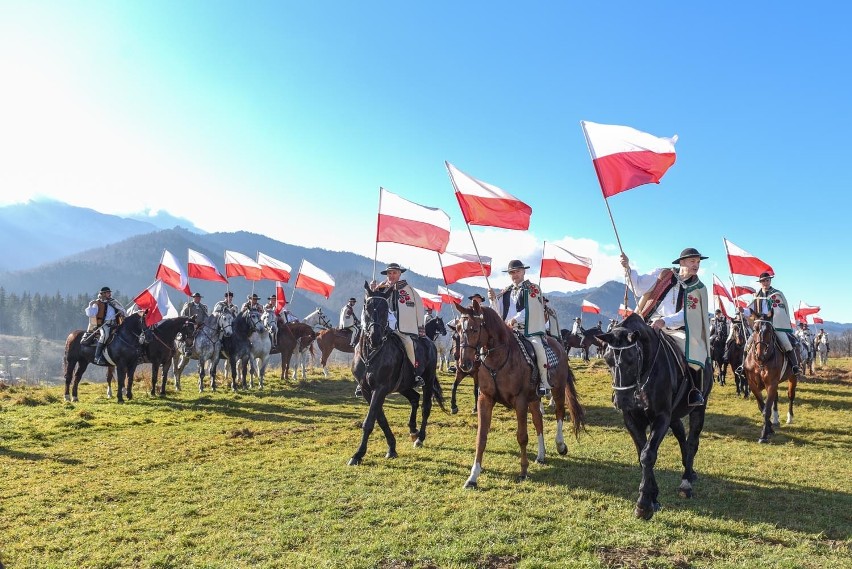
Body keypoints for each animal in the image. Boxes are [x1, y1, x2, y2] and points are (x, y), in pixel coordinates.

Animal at [350, 282, 450, 464]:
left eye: (385, 309)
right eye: (366, 306)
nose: (374, 337)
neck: (370, 354)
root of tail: (428, 341)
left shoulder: (380, 389)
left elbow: (370, 421)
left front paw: (358, 454)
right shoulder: (368, 390)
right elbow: (380, 418)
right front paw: (391, 447)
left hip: (428, 379)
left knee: (425, 406)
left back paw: (420, 438)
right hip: (403, 385)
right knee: (414, 398)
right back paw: (413, 431)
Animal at [456, 302, 588, 488]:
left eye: (474, 329)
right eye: (459, 329)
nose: (464, 363)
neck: (499, 359)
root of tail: (559, 345)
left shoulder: (520, 401)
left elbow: (522, 436)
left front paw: (524, 471)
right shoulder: (485, 399)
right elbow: (481, 437)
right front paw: (473, 477)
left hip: (557, 390)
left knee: (559, 414)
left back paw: (560, 445)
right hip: (533, 398)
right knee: (539, 421)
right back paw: (541, 455)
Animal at [600, 312, 712, 520]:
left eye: (632, 359)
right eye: (607, 360)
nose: (622, 400)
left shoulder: (661, 418)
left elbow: (648, 455)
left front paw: (644, 504)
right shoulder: (632, 419)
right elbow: (641, 454)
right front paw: (653, 497)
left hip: (699, 407)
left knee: (692, 441)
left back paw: (686, 482)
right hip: (675, 415)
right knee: (682, 436)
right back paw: (689, 470)